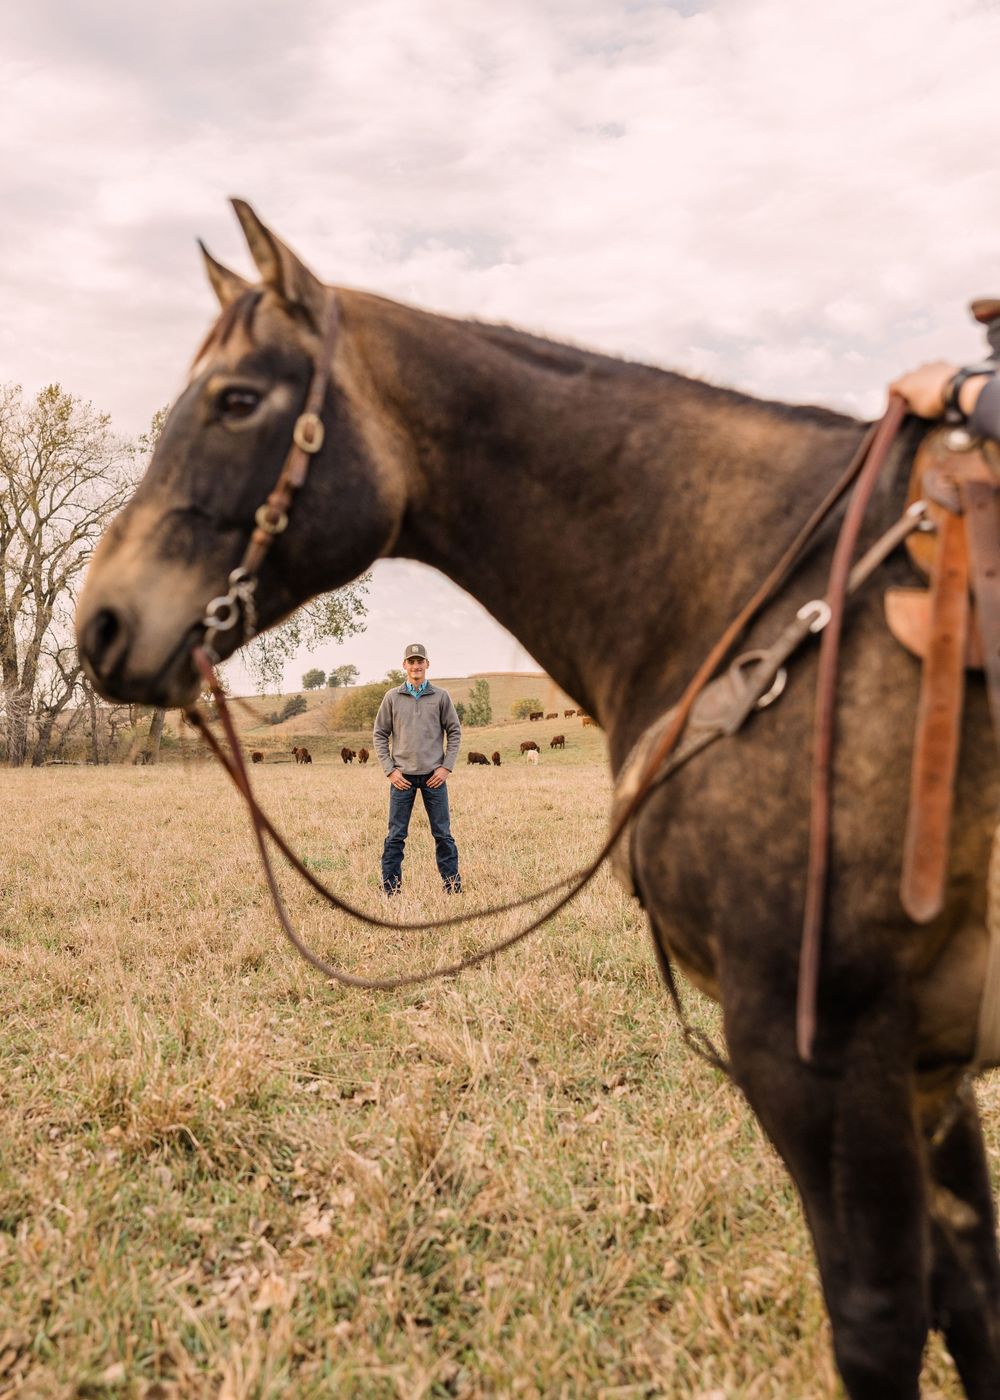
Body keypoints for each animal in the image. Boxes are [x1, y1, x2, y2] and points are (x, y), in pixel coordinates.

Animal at [75, 200, 1000, 1399]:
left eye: (237, 399)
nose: (99, 622)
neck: (762, 595)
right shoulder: (927, 1067)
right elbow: (974, 1302)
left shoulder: (827, 1058)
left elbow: (883, 1321)